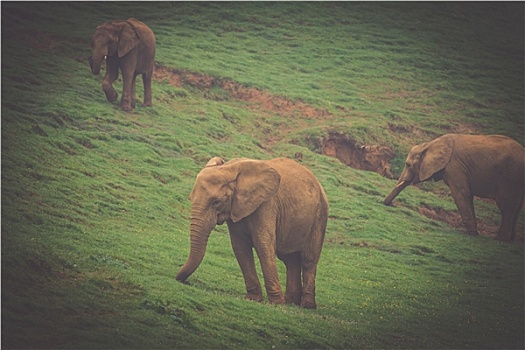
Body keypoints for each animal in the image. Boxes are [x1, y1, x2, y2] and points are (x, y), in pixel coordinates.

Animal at [178, 157, 330, 308]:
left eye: (216, 202)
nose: (184, 281)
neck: (229, 168)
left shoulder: (266, 204)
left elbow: (263, 245)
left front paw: (276, 303)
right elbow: (240, 247)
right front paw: (254, 299)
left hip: (320, 215)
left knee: (309, 259)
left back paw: (306, 305)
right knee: (290, 259)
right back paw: (291, 302)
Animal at [382, 133, 520, 242]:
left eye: (408, 165)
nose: (392, 204)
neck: (430, 144)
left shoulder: (454, 166)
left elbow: (461, 193)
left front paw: (472, 234)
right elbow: (468, 195)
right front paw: (474, 232)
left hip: (509, 177)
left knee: (505, 206)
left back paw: (500, 239)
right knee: (516, 208)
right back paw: (510, 240)